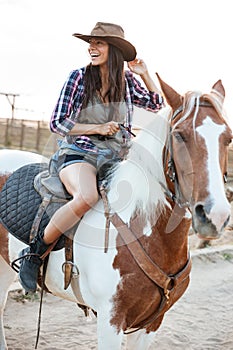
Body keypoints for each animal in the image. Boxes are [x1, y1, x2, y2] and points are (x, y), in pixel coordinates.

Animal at [0, 74, 232, 350]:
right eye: (179, 135)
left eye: (228, 137)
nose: (214, 215)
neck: (141, 227)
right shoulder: (111, 320)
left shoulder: (151, 323)